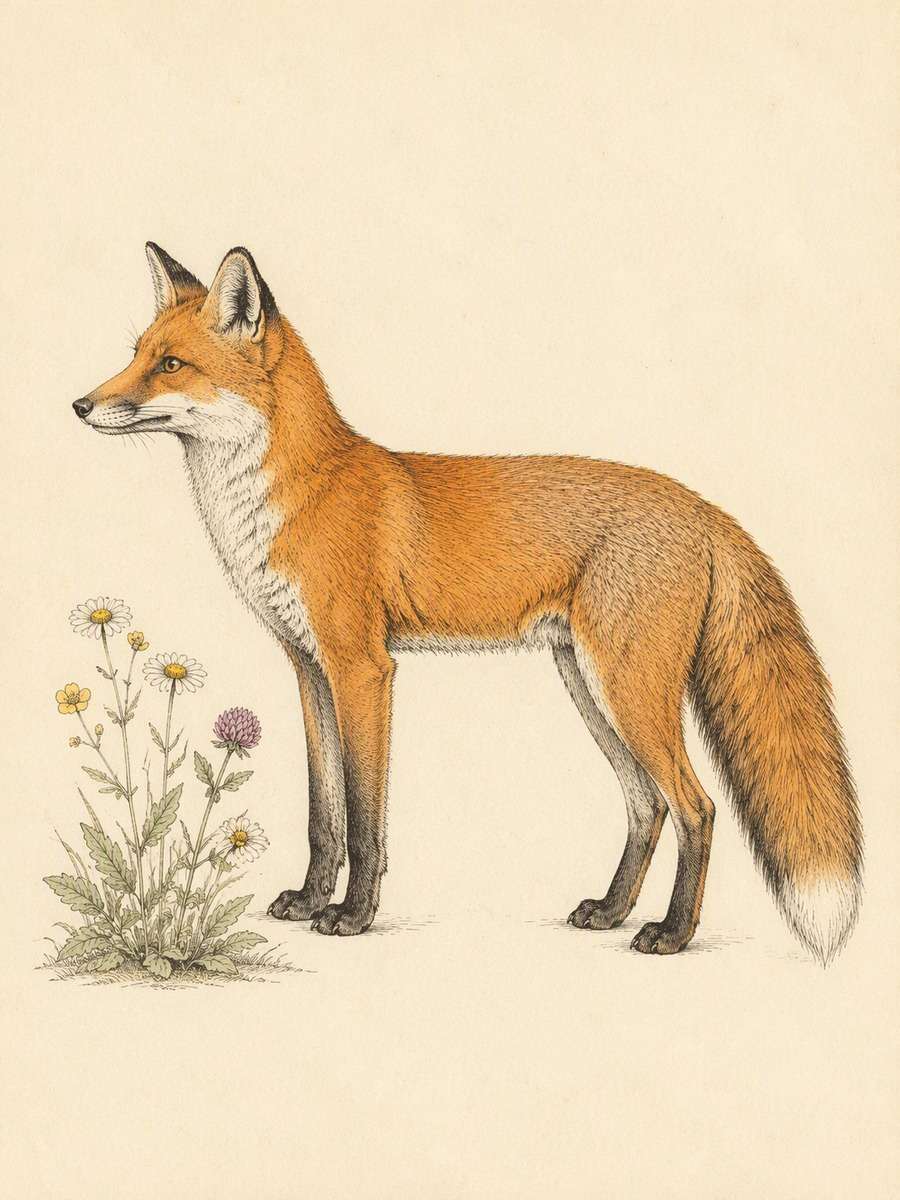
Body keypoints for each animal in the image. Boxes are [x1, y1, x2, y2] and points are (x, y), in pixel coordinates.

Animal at [72, 242, 863, 960]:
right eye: (136, 354)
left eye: (171, 365)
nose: (80, 404)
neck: (292, 496)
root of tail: (701, 506)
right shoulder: (309, 667)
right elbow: (323, 814)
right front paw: (308, 898)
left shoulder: (363, 669)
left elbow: (363, 816)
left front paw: (353, 916)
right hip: (589, 686)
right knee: (649, 806)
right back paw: (610, 911)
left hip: (628, 690)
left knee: (697, 807)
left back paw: (671, 933)